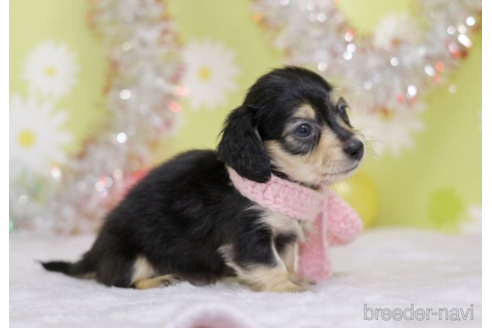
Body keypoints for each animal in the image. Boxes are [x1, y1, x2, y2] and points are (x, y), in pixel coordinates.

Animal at [43, 66, 366, 292]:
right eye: (303, 129)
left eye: (342, 111)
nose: (358, 148)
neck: (277, 180)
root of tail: (94, 253)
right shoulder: (248, 237)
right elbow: (270, 264)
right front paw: (288, 288)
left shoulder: (283, 236)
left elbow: (284, 260)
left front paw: (296, 278)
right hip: (130, 255)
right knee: (118, 280)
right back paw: (160, 280)